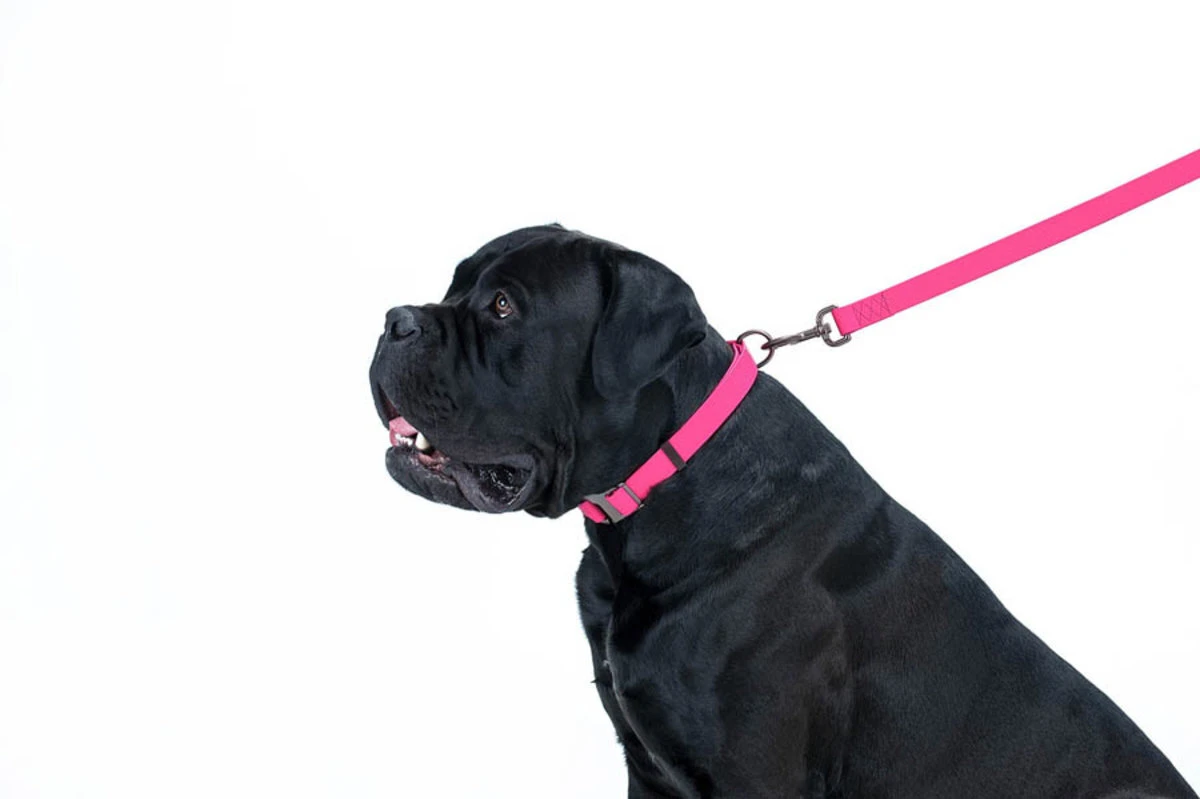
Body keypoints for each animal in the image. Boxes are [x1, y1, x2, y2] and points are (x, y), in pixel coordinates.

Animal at [369, 225, 1196, 798]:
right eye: (454, 286)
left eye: (504, 307)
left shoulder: (756, 775)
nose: (394, 319)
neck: (662, 491)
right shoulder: (649, 765)